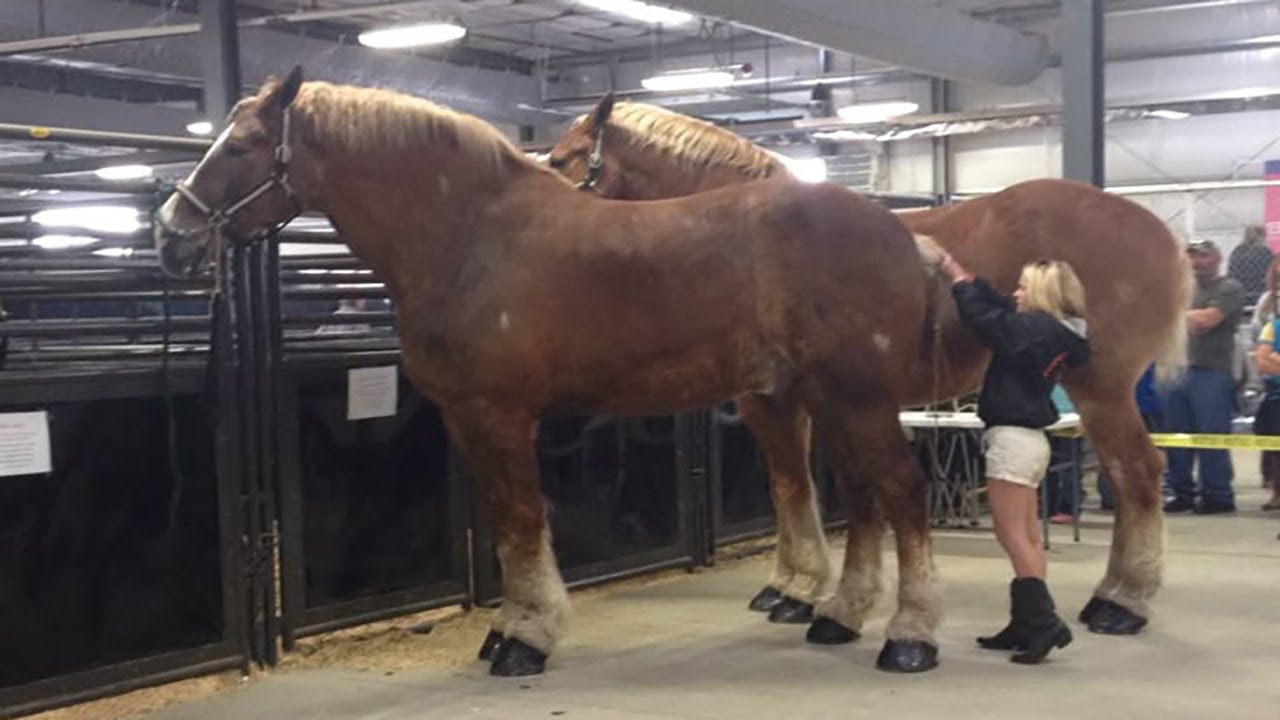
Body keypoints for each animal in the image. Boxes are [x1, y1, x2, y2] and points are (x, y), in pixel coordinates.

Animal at [154, 67, 950, 676]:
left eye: (243, 145)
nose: (170, 236)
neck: (472, 237)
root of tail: (898, 230)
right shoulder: (465, 420)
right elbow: (504, 526)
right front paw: (508, 628)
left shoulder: (500, 415)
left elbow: (522, 518)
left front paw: (525, 640)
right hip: (830, 401)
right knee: (862, 496)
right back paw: (839, 615)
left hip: (859, 398)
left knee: (903, 494)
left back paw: (909, 638)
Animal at [547, 93, 1191, 640]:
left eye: (561, 158)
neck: (755, 239)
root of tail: (1156, 232)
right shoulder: (814, 403)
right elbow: (810, 488)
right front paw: (803, 591)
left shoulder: (775, 403)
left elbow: (796, 485)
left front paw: (801, 590)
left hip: (1101, 388)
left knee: (1137, 473)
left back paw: (1122, 603)